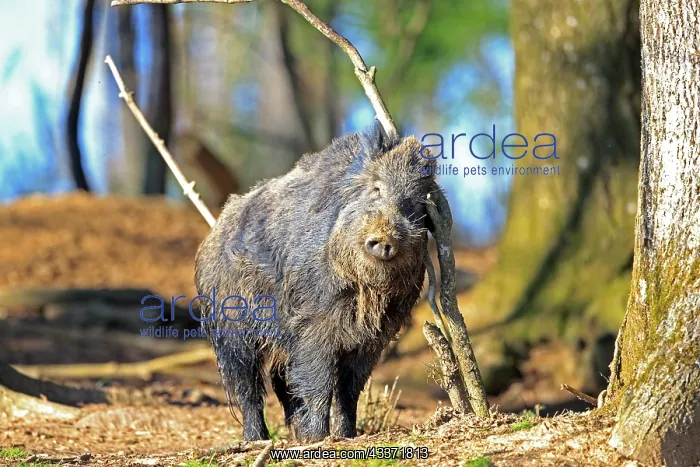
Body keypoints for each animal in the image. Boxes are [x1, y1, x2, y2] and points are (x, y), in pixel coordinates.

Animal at [194, 123, 437, 442]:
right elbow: (318, 380)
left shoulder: (375, 337)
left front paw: (347, 437)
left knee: (281, 378)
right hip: (231, 325)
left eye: (417, 205)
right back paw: (257, 439)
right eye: (376, 188)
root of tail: (214, 230)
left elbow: (349, 388)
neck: (364, 294)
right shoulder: (313, 322)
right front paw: (319, 439)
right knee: (247, 384)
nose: (386, 240)